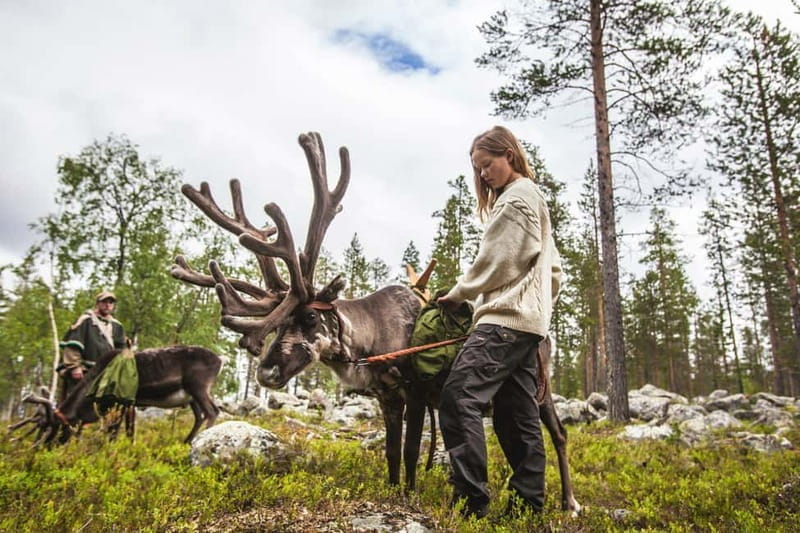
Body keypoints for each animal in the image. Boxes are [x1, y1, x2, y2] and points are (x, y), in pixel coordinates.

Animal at [10, 345, 224, 445]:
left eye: (58, 426)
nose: (45, 447)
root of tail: (220, 360)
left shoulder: (119, 402)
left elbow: (113, 430)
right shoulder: (128, 404)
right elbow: (126, 430)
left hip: (198, 386)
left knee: (212, 411)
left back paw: (201, 439)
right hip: (191, 396)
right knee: (200, 415)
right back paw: (187, 441)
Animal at [170, 131, 580, 512]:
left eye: (309, 316)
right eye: (279, 324)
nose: (266, 372)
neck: (373, 341)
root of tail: (546, 336)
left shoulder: (416, 394)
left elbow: (412, 451)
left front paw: (410, 494)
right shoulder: (387, 398)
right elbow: (392, 452)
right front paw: (394, 489)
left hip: (540, 387)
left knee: (558, 434)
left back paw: (569, 502)